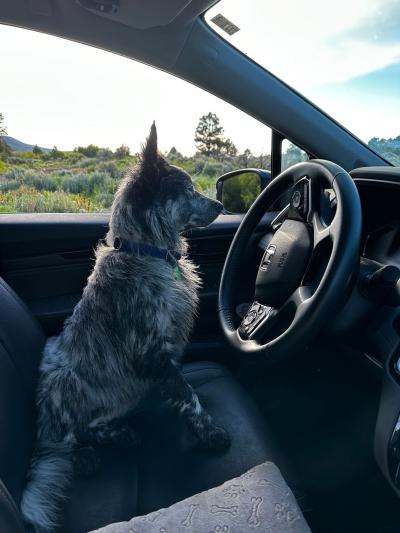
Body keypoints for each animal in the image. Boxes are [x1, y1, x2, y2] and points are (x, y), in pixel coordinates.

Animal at [20, 123, 230, 532]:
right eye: (188, 189)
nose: (221, 205)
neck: (146, 252)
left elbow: (183, 387)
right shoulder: (151, 352)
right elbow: (187, 396)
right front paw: (209, 432)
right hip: (65, 380)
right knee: (73, 434)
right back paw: (90, 451)